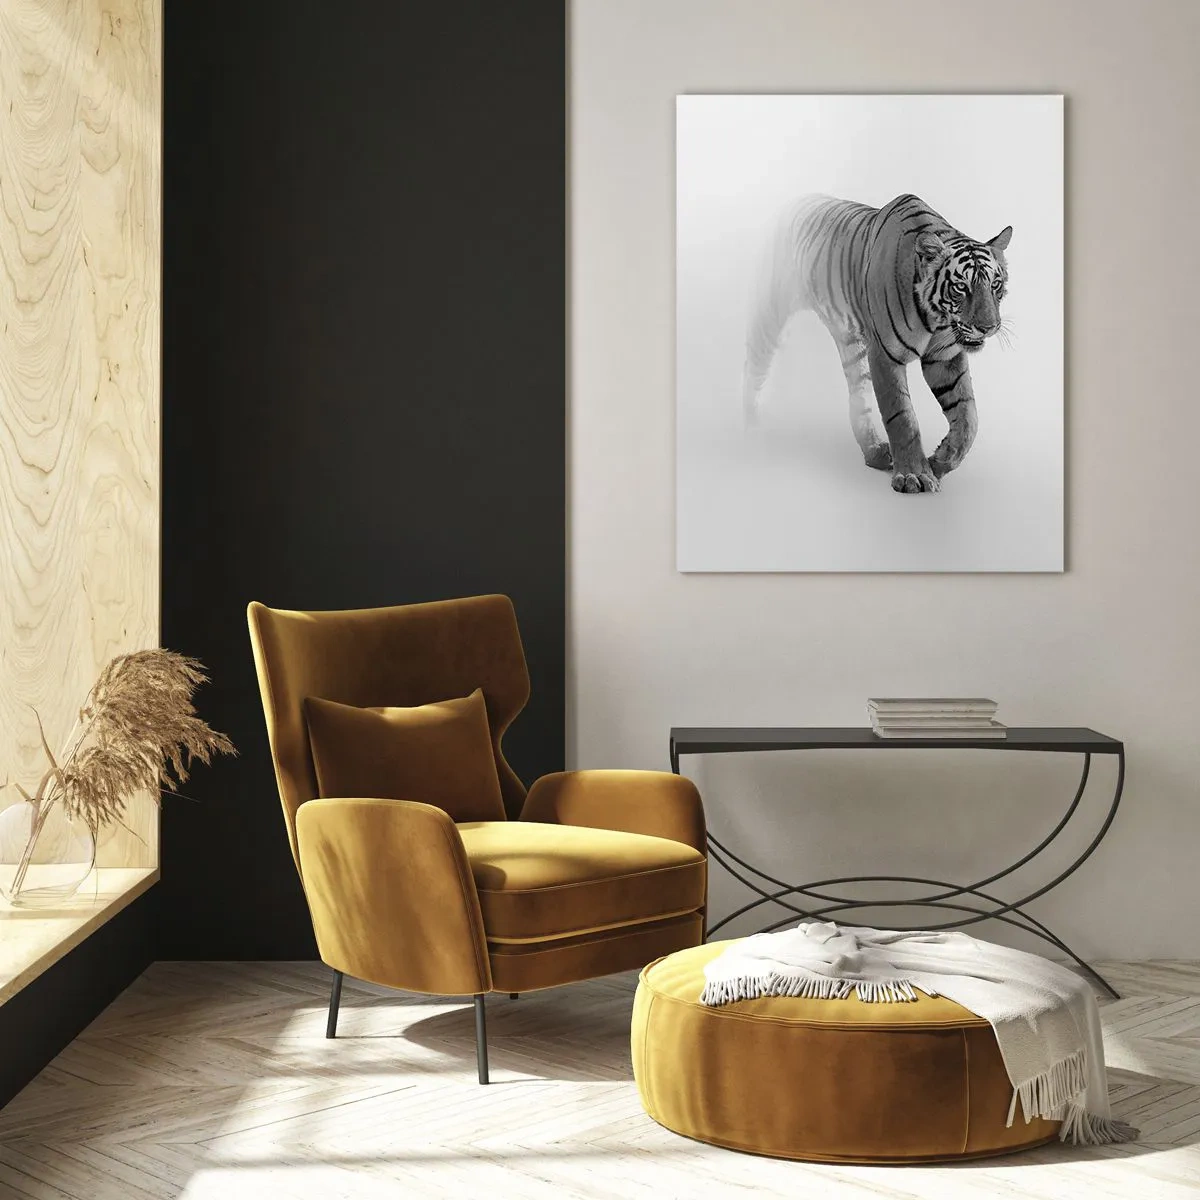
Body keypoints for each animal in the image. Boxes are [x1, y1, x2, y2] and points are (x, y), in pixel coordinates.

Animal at [741, 193, 1012, 493]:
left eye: (995, 285)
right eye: (961, 287)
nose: (988, 327)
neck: (936, 318)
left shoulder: (944, 358)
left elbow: (968, 417)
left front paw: (940, 462)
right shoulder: (885, 355)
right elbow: (902, 416)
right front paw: (914, 475)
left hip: (852, 345)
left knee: (858, 399)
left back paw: (874, 452)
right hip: (771, 310)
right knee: (753, 364)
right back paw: (749, 425)